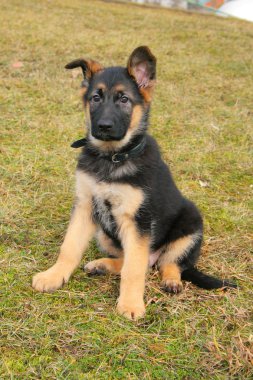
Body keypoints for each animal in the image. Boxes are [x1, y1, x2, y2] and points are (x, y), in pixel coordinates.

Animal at [32, 46, 236, 320]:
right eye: (95, 98)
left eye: (124, 99)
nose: (103, 126)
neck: (112, 158)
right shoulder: (85, 206)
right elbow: (70, 247)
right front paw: (53, 276)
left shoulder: (138, 220)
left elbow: (134, 269)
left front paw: (130, 304)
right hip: (105, 233)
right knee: (134, 261)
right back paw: (102, 265)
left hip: (190, 225)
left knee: (166, 263)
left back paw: (171, 281)